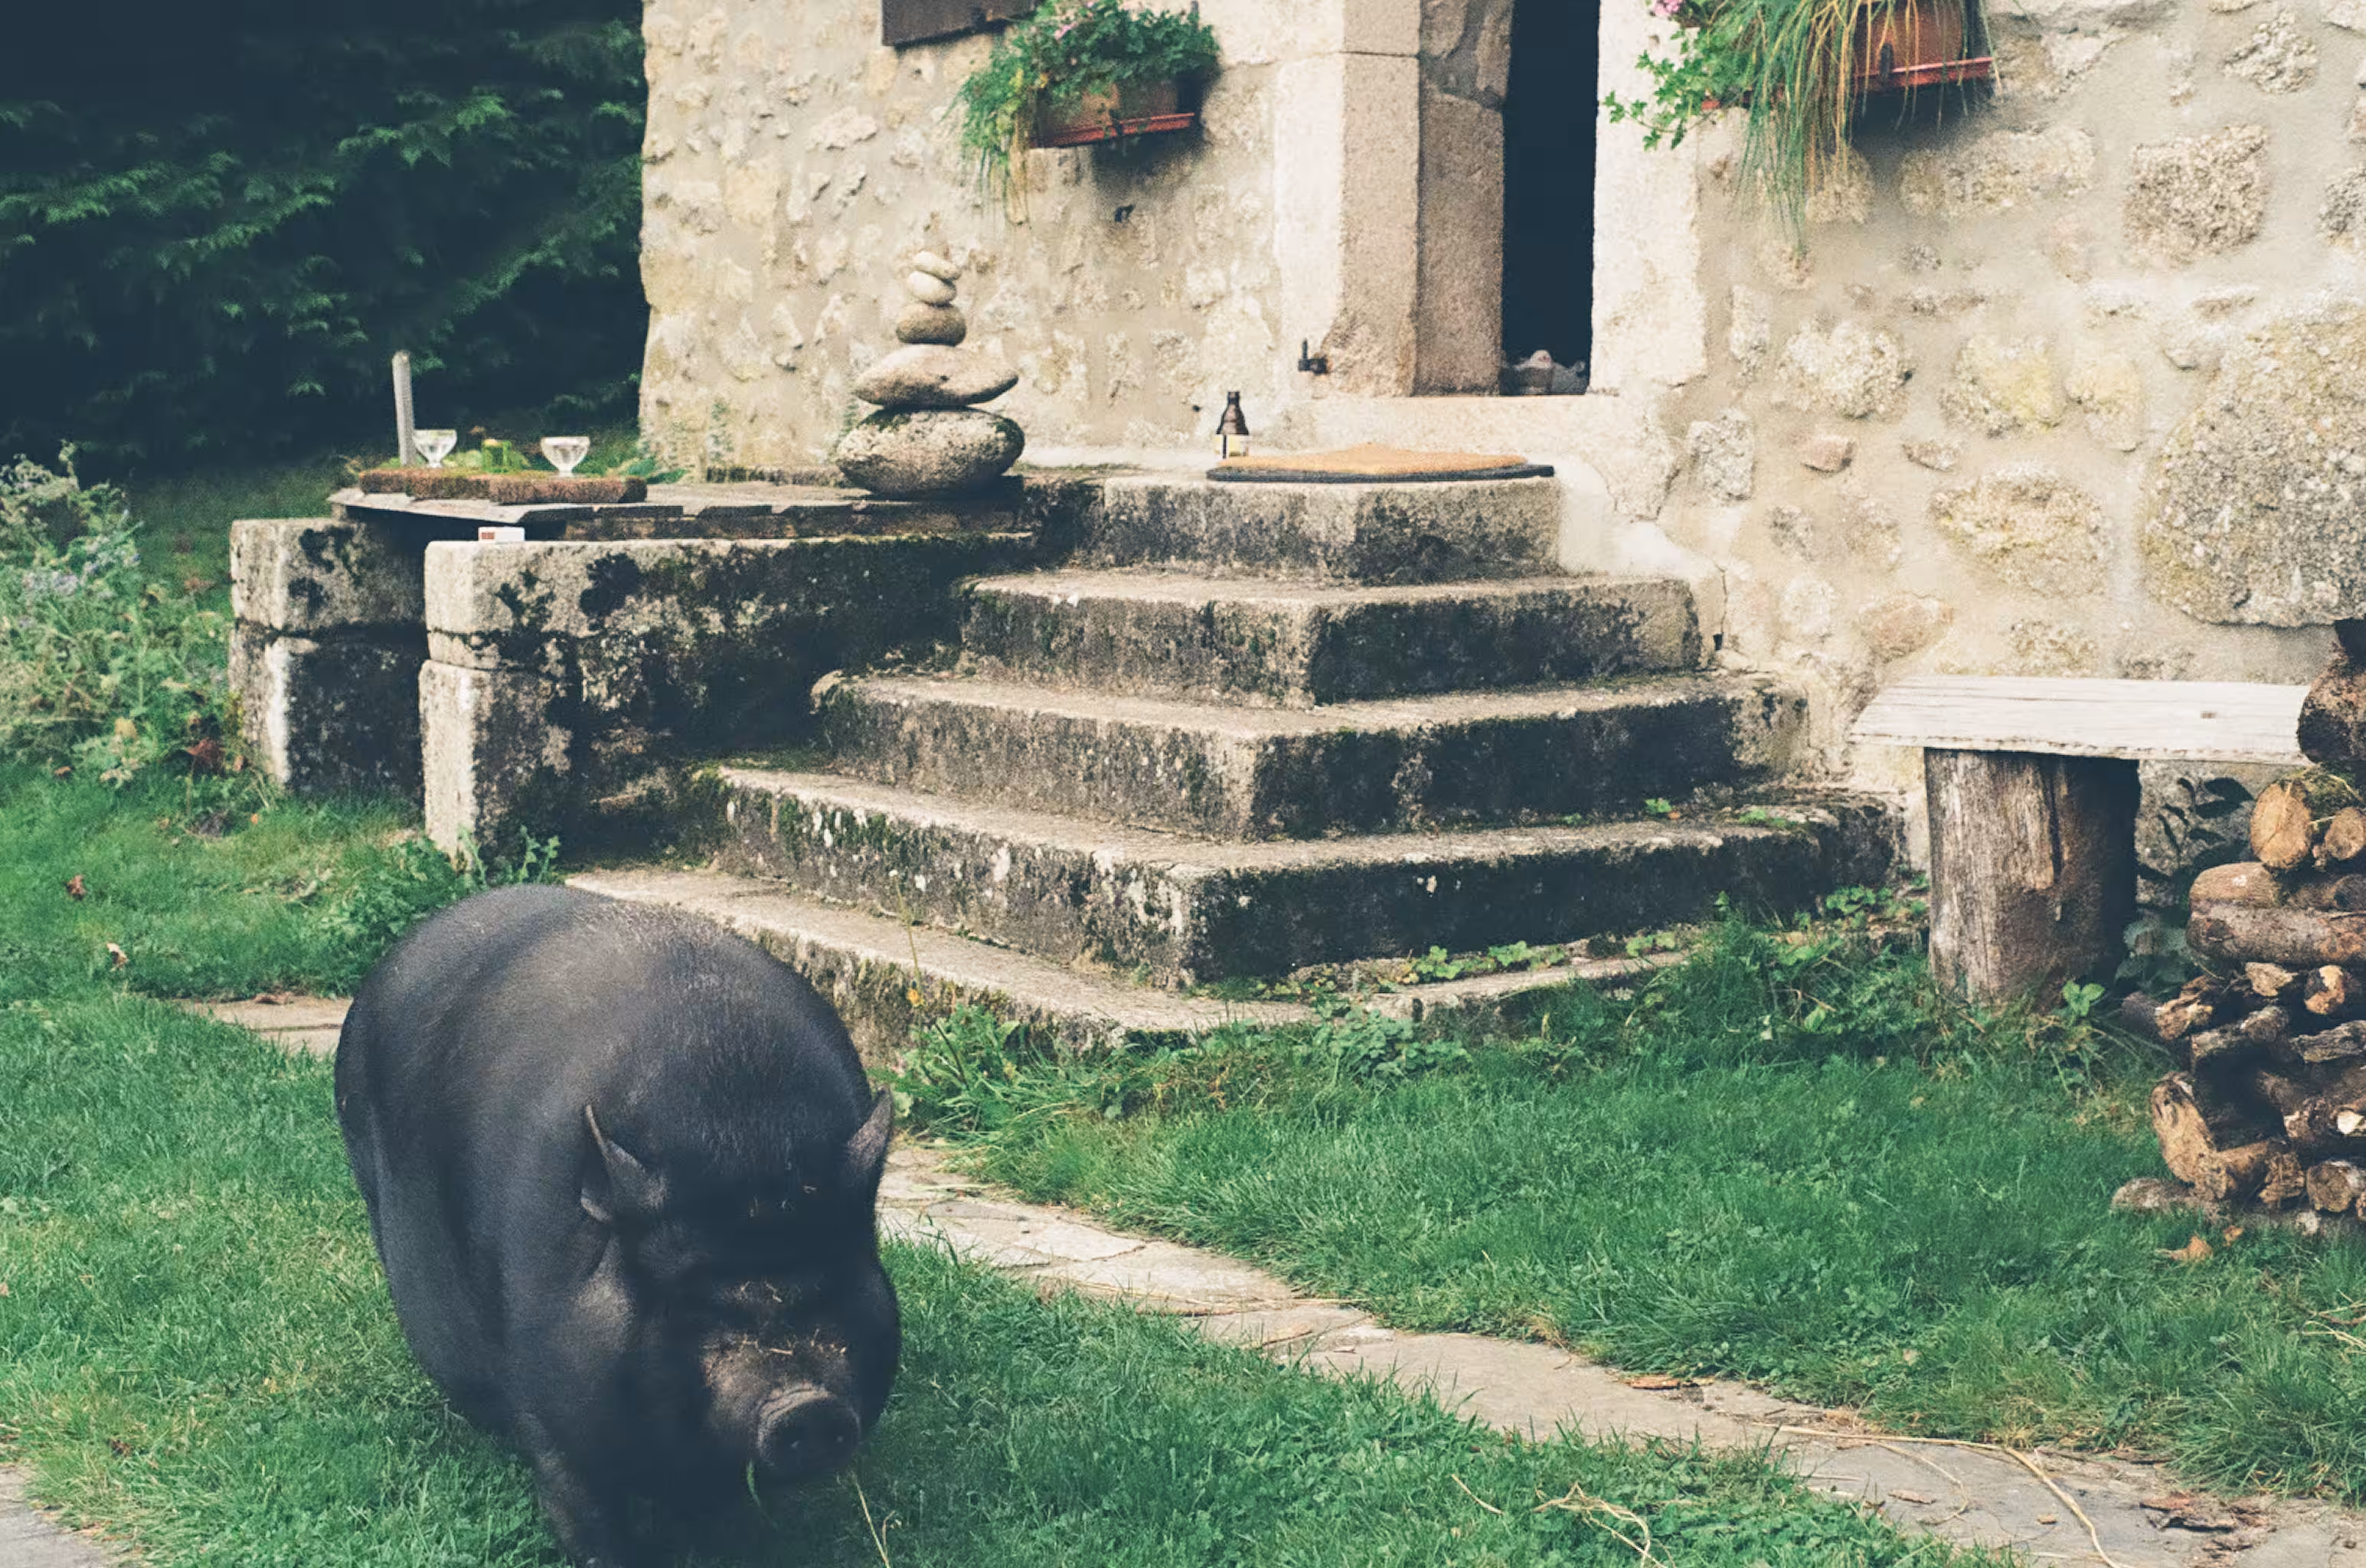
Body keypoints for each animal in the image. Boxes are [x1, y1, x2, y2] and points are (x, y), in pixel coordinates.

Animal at [334, 884, 900, 1567]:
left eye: (830, 1281)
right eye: (690, 1302)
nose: (806, 1406)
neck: (742, 1141)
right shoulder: (549, 1403)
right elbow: (584, 1508)